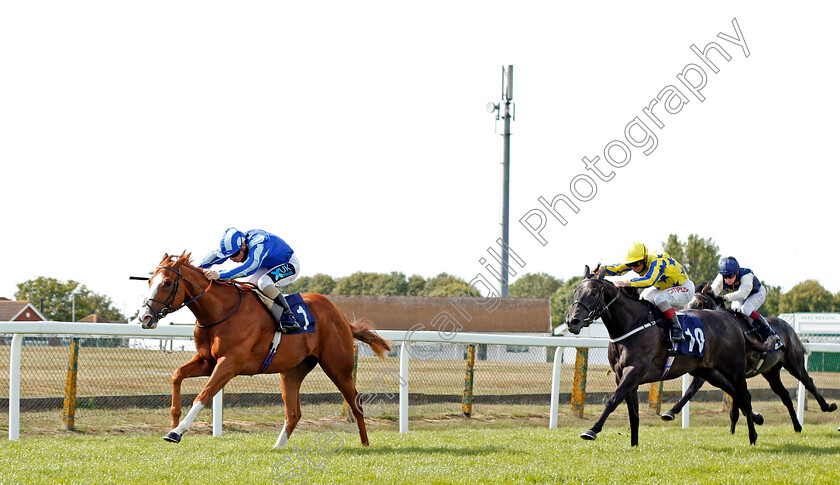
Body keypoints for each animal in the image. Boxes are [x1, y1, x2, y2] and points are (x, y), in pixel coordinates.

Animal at [135, 253, 390, 446]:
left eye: (167, 283)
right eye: (149, 282)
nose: (145, 317)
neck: (220, 311)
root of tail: (342, 318)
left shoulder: (229, 363)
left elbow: (204, 394)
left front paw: (177, 432)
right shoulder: (208, 361)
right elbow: (176, 375)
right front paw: (173, 422)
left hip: (338, 367)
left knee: (356, 403)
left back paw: (365, 444)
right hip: (292, 371)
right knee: (293, 413)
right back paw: (278, 447)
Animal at [564, 264, 760, 446]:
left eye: (593, 292)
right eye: (576, 292)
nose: (572, 321)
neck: (632, 323)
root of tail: (732, 321)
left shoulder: (634, 371)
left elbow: (612, 400)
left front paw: (592, 430)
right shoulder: (622, 376)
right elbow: (633, 414)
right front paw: (634, 445)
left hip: (734, 370)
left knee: (744, 396)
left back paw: (753, 436)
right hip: (707, 371)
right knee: (733, 392)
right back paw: (757, 419)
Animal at [664, 280, 840, 432]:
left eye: (700, 305)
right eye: (688, 304)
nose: (686, 320)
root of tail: (788, 327)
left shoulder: (729, 371)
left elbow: (699, 389)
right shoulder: (716, 371)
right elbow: (698, 390)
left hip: (794, 363)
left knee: (808, 381)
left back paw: (828, 406)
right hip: (771, 372)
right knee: (785, 395)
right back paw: (797, 426)